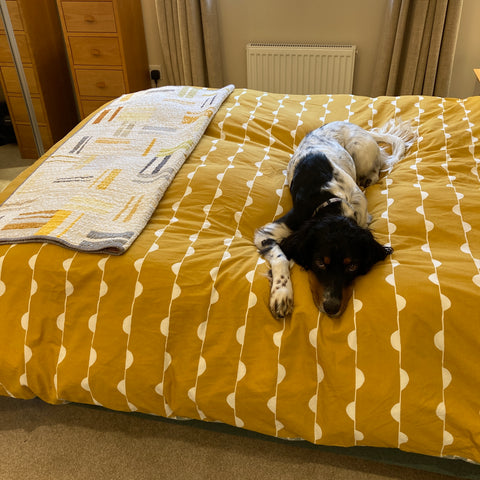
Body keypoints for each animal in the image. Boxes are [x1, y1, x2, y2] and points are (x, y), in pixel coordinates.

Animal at [255, 120, 416, 318]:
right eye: (319, 263)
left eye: (352, 266)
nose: (331, 308)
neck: (332, 202)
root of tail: (351, 125)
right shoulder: (268, 232)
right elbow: (281, 257)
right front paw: (282, 294)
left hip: (360, 152)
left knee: (376, 169)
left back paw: (367, 180)